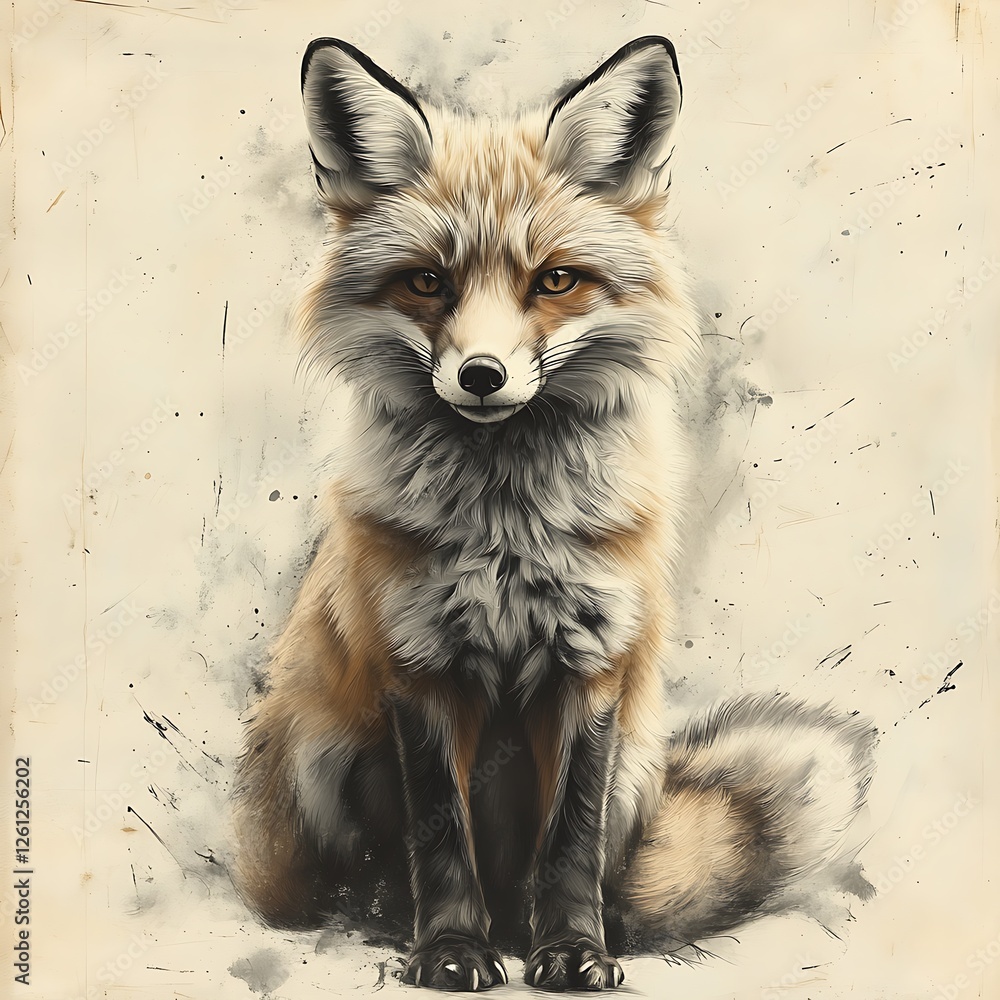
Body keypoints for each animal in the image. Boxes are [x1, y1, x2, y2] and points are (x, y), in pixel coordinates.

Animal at [230, 36, 877, 992]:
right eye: (428, 282)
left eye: (556, 281)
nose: (482, 376)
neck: (507, 528)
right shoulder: (419, 668)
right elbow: (440, 836)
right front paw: (449, 951)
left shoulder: (593, 667)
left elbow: (568, 841)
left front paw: (572, 951)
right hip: (319, 751)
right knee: (353, 879)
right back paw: (393, 918)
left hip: (635, 767)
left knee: (600, 880)